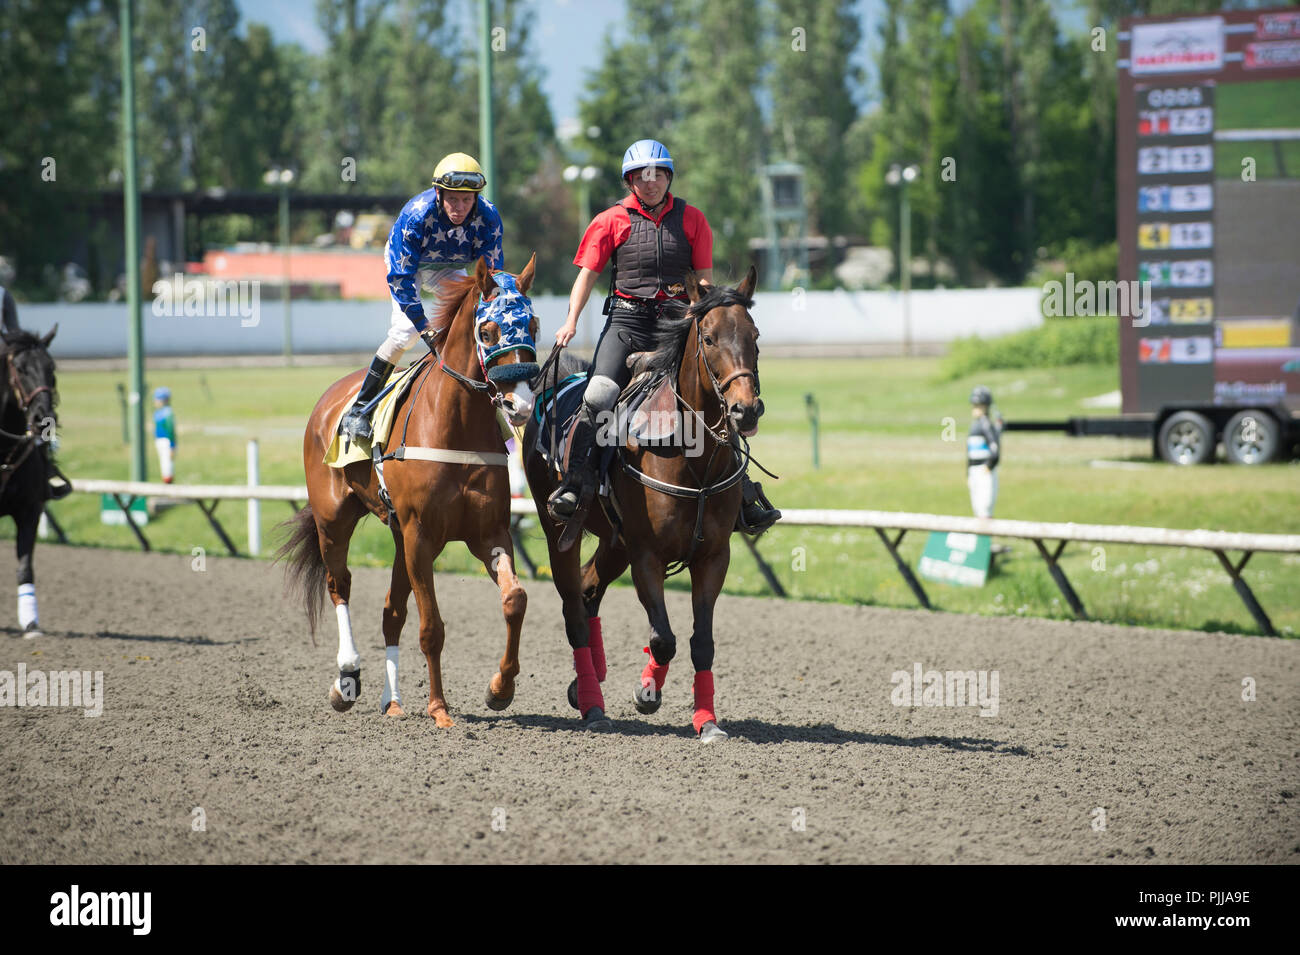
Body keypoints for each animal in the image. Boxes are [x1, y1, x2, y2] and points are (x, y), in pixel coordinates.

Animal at [276, 254, 540, 722]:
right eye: (488, 331)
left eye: (535, 325)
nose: (521, 404)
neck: (456, 426)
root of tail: (330, 397)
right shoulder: (422, 535)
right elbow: (431, 626)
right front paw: (439, 710)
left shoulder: (487, 532)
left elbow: (515, 599)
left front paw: (500, 688)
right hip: (334, 520)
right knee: (339, 585)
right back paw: (347, 678)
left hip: (399, 535)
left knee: (391, 611)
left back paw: (393, 701)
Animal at [525, 265, 764, 743]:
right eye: (709, 337)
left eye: (755, 335)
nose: (745, 410)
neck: (691, 459)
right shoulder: (647, 556)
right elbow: (663, 639)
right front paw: (645, 693)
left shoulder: (713, 557)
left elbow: (701, 643)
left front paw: (706, 721)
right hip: (559, 527)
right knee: (573, 608)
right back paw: (593, 704)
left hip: (615, 542)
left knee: (589, 589)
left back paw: (587, 685)